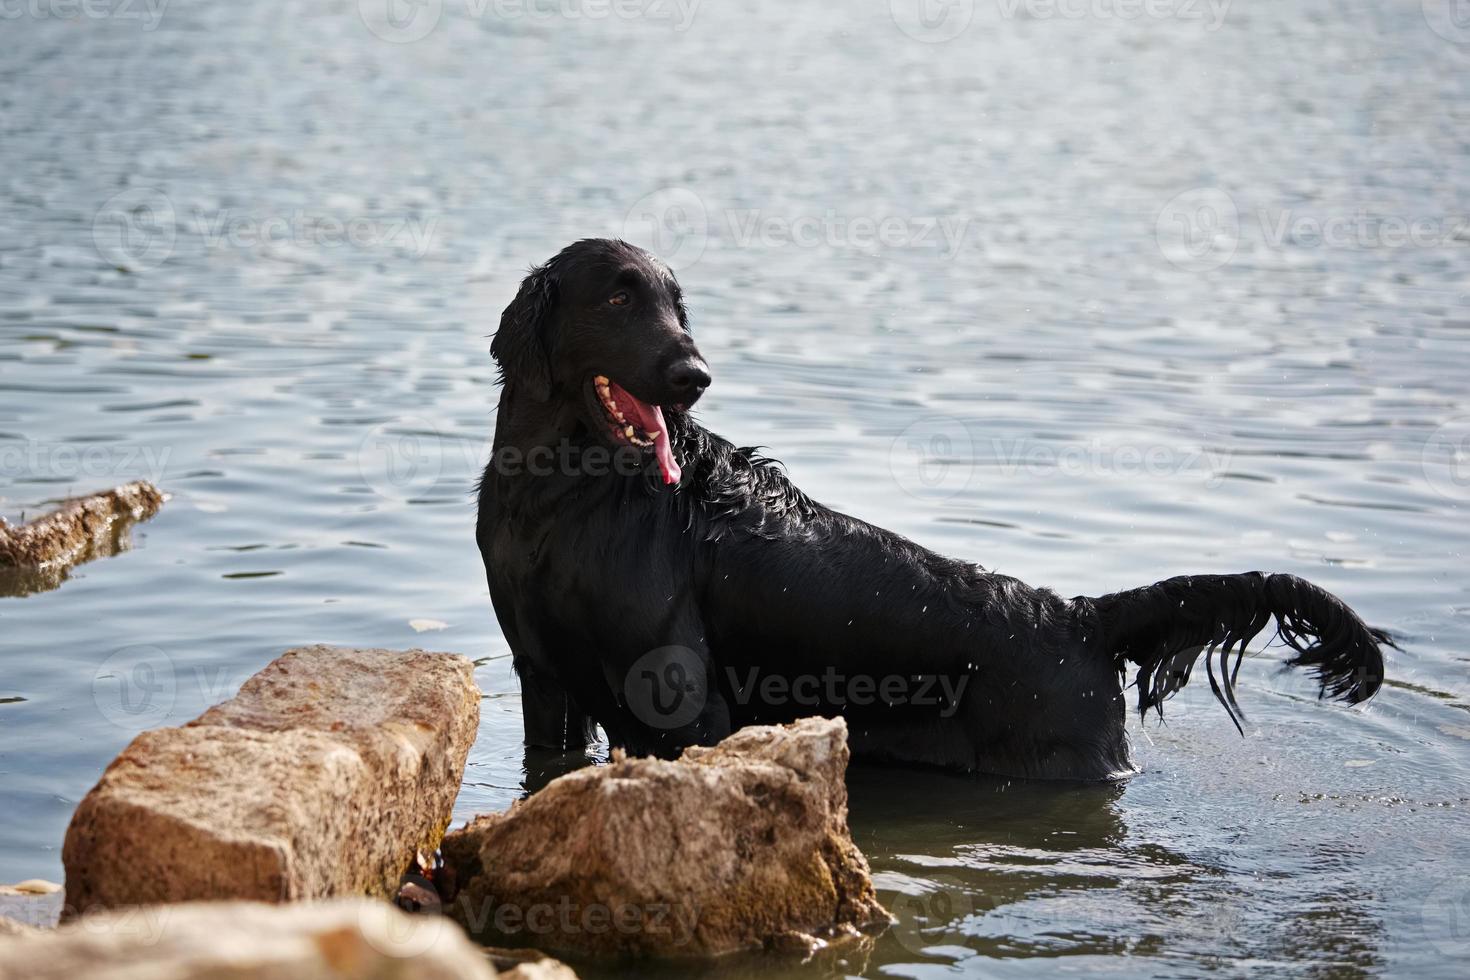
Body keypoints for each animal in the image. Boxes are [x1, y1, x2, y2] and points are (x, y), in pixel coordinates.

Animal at [473, 239, 1387, 781]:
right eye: (619, 299)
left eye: (676, 305)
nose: (695, 375)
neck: (560, 495)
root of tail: (1080, 615)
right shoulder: (541, 678)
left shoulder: (683, 697)